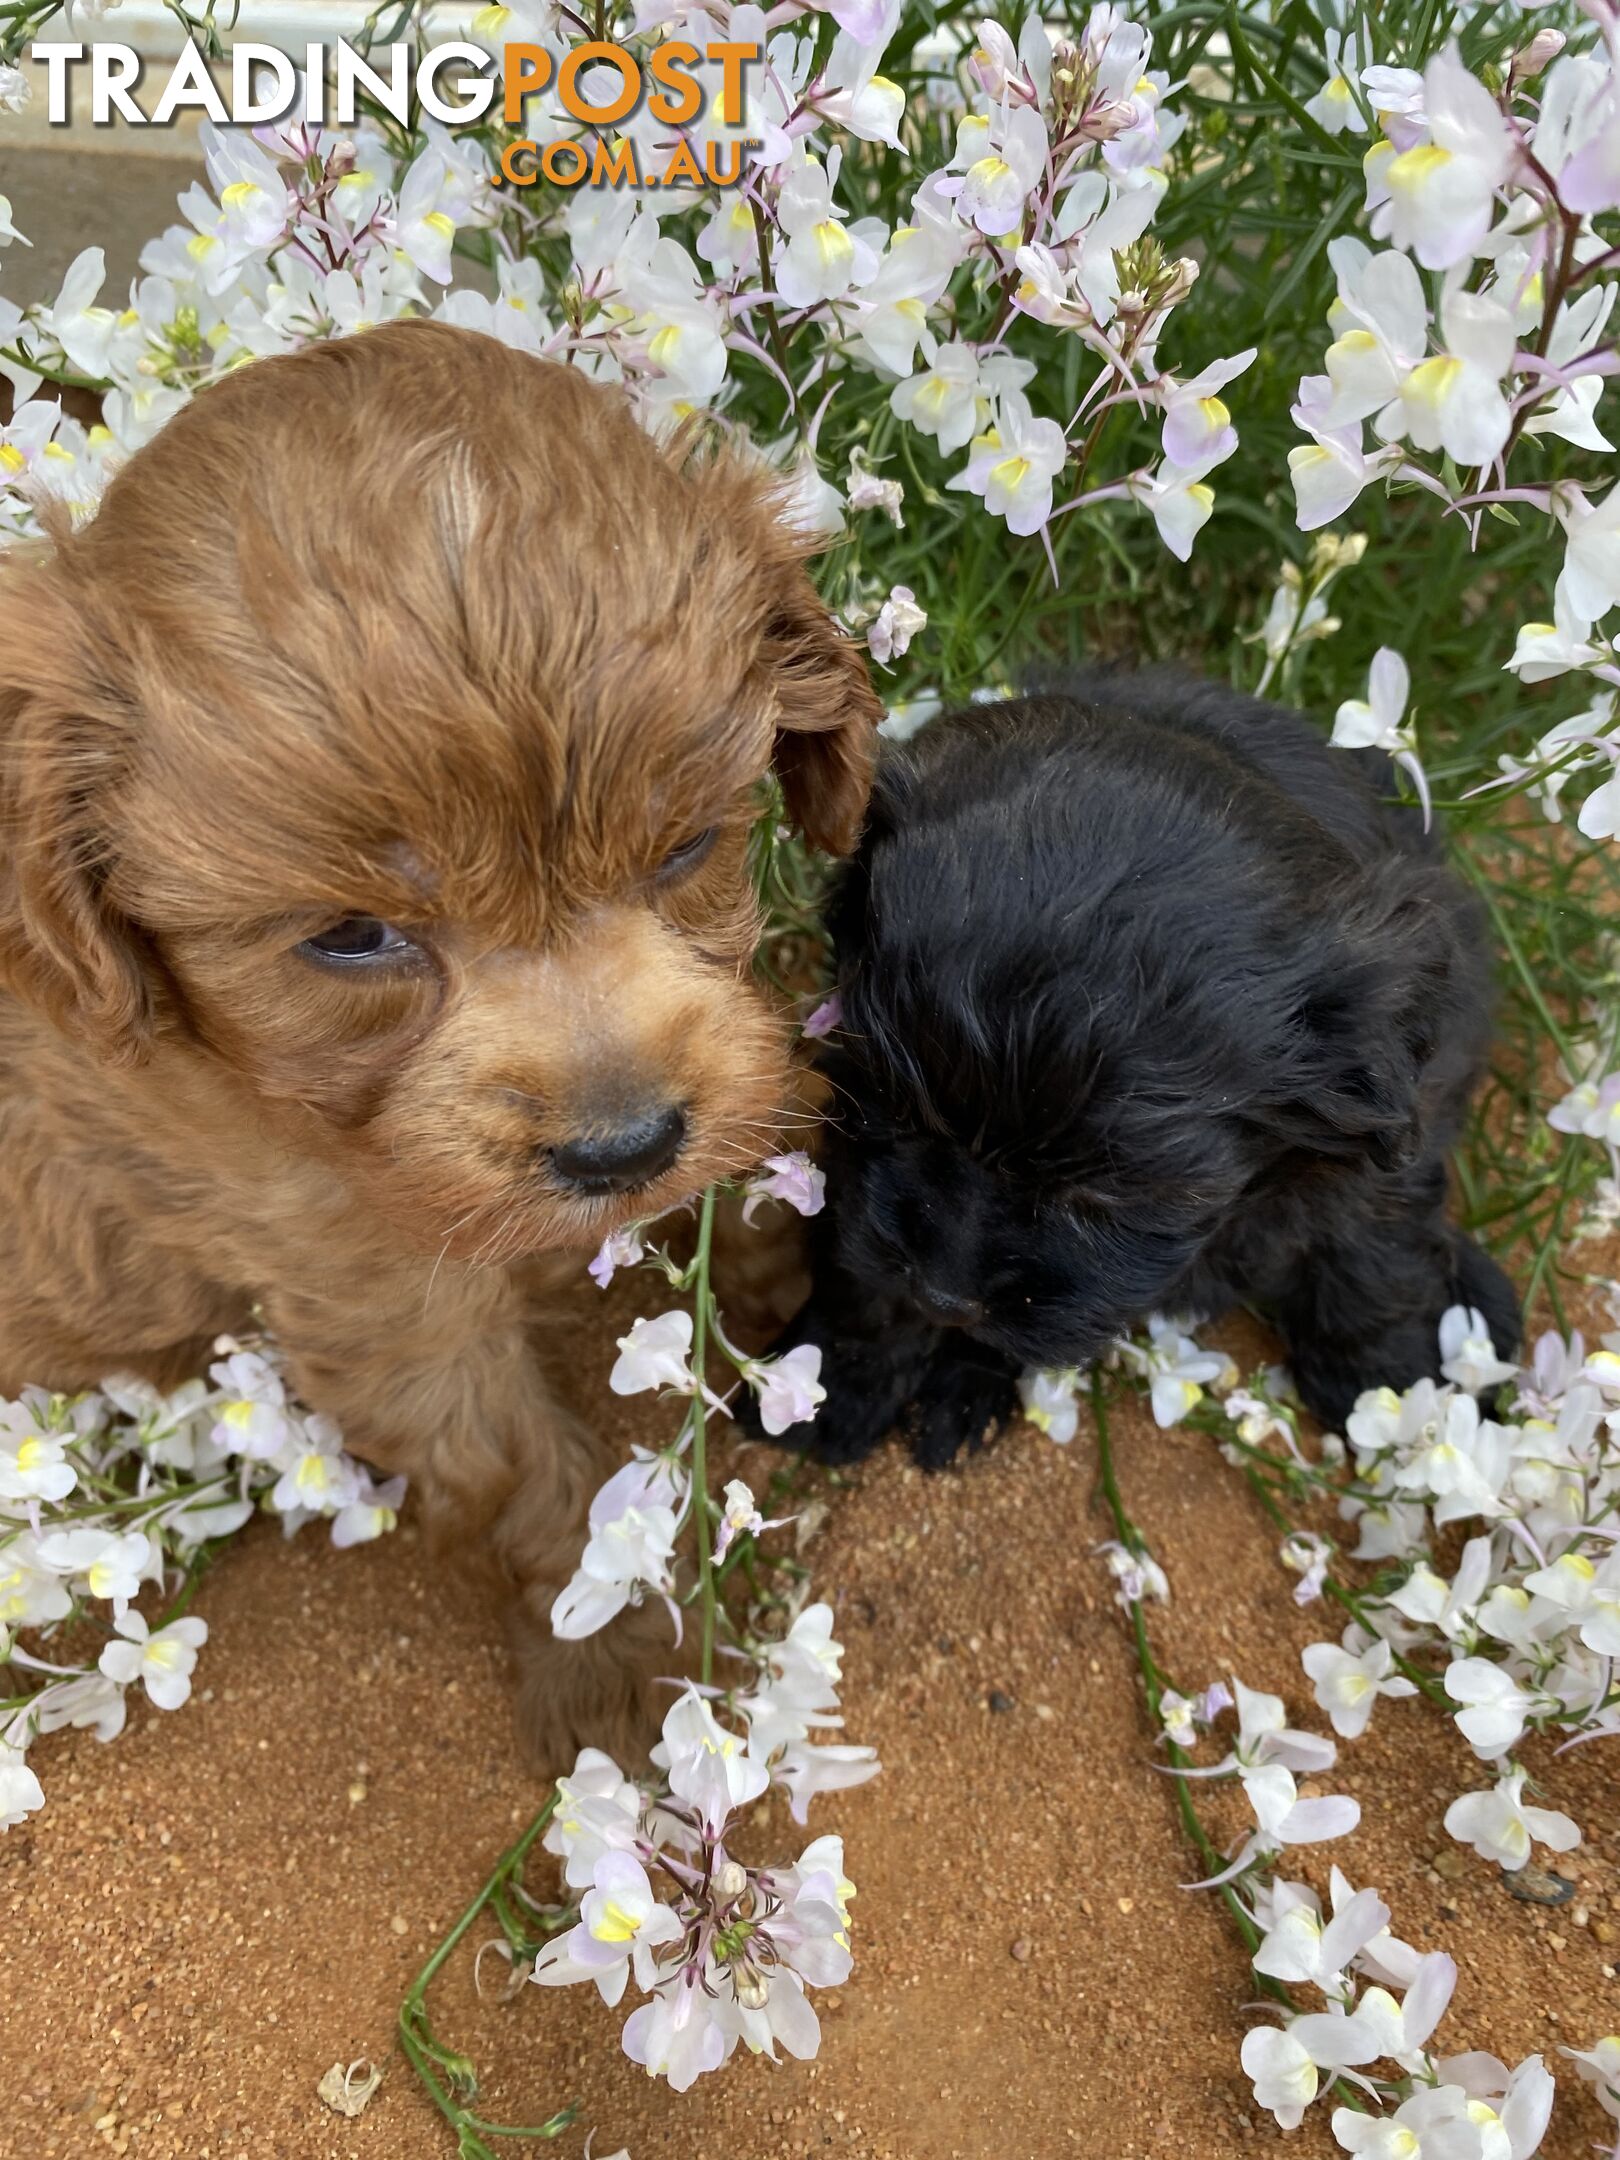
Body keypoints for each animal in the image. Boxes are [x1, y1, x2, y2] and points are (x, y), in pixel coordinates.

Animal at [0, 324, 881, 1771]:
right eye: (353, 937)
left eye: (689, 847)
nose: (623, 1149)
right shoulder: (372, 1290)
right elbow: (523, 1473)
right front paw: (618, 1664)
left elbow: (759, 1127)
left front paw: (802, 1278)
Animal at [768, 665, 1520, 1468]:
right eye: (894, 1109)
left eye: (1107, 1198)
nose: (945, 1299)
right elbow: (861, 1272)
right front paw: (835, 1379)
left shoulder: (1382, 1159)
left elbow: (1370, 1269)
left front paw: (1396, 1394)